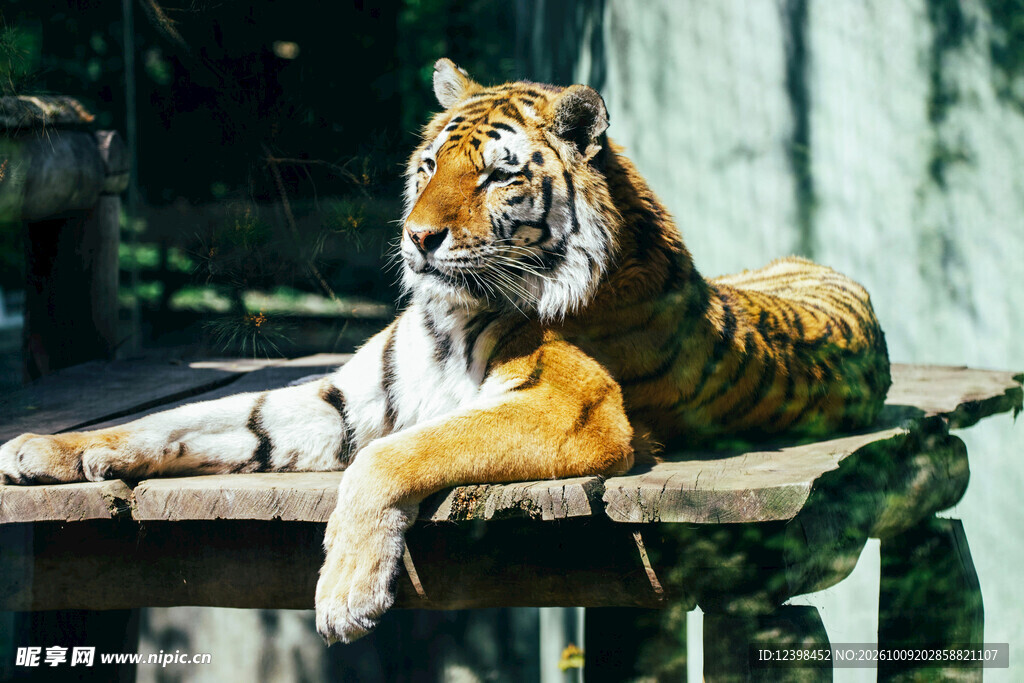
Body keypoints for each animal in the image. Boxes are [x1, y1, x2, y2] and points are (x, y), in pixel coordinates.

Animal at [0, 59, 890, 644]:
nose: (417, 236)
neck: (450, 316)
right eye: (429, 165)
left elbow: (393, 455)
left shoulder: (574, 409)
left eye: (497, 176)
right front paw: (49, 447)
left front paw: (345, 591)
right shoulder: (343, 398)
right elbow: (198, 416)